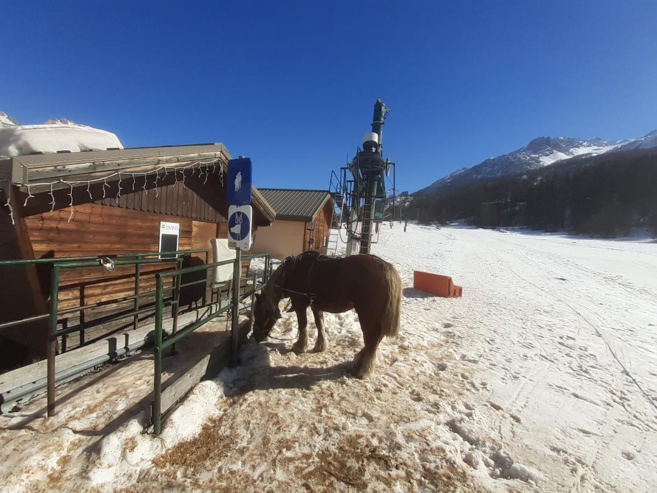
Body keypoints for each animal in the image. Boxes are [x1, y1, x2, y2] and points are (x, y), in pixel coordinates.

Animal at [252, 251, 402, 378]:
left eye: (257, 313)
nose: (255, 337)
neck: (290, 273)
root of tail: (384, 266)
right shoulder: (316, 306)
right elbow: (320, 324)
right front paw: (320, 345)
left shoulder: (299, 304)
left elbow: (303, 324)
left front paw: (300, 346)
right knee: (377, 338)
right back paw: (358, 361)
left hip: (367, 314)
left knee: (372, 339)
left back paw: (362, 370)